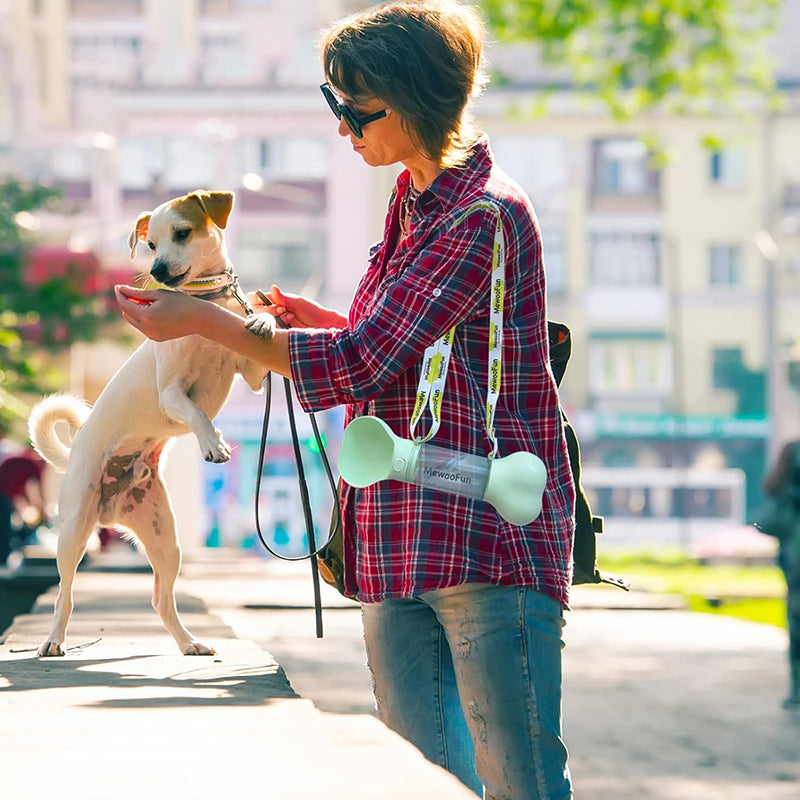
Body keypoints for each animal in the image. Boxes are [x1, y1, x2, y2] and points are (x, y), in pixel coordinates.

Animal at [28, 191, 274, 660]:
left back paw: (189, 642)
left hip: (164, 537)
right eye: (151, 245)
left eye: (182, 233)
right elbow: (197, 414)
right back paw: (52, 640)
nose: (157, 272)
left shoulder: (252, 376)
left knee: (161, 598)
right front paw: (213, 442)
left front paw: (265, 318)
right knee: (64, 595)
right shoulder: (173, 394)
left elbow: (259, 344)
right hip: (73, 532)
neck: (207, 304)